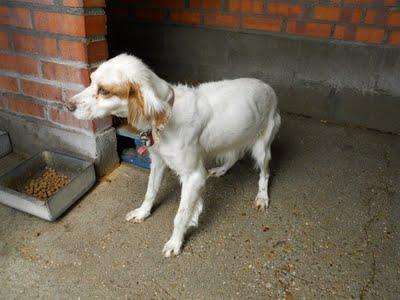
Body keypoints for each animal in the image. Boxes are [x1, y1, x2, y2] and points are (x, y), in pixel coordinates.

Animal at [68, 53, 282, 255]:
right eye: (90, 80)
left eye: (104, 90)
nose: (68, 106)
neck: (168, 116)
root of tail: (269, 88)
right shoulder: (158, 162)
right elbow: (151, 192)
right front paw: (143, 213)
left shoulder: (193, 175)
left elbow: (180, 215)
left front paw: (175, 242)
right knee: (234, 156)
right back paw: (221, 170)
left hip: (262, 148)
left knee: (265, 173)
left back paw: (262, 197)